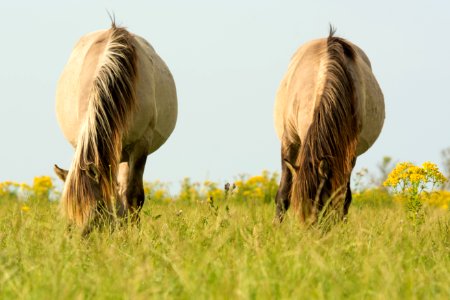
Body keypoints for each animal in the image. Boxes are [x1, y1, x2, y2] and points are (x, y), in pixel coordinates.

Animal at [53, 22, 177, 230]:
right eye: (69, 218)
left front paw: (131, 232)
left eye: (97, 209)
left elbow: (133, 195)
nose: (80, 238)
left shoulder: (141, 144)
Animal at [274, 28, 384, 224]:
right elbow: (283, 192)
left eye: (322, 204)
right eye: (298, 207)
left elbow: (342, 196)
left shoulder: (347, 152)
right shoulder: (290, 141)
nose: (312, 230)